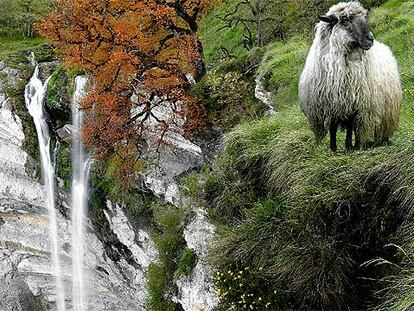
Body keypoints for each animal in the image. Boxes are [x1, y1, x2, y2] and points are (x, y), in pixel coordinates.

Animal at [300, 0, 402, 152]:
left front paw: (349, 146)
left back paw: (367, 143)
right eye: (345, 19)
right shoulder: (330, 105)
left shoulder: (355, 103)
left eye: (363, 18)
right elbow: (333, 127)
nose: (370, 39)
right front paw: (333, 148)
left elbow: (349, 126)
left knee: (361, 127)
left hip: (382, 111)